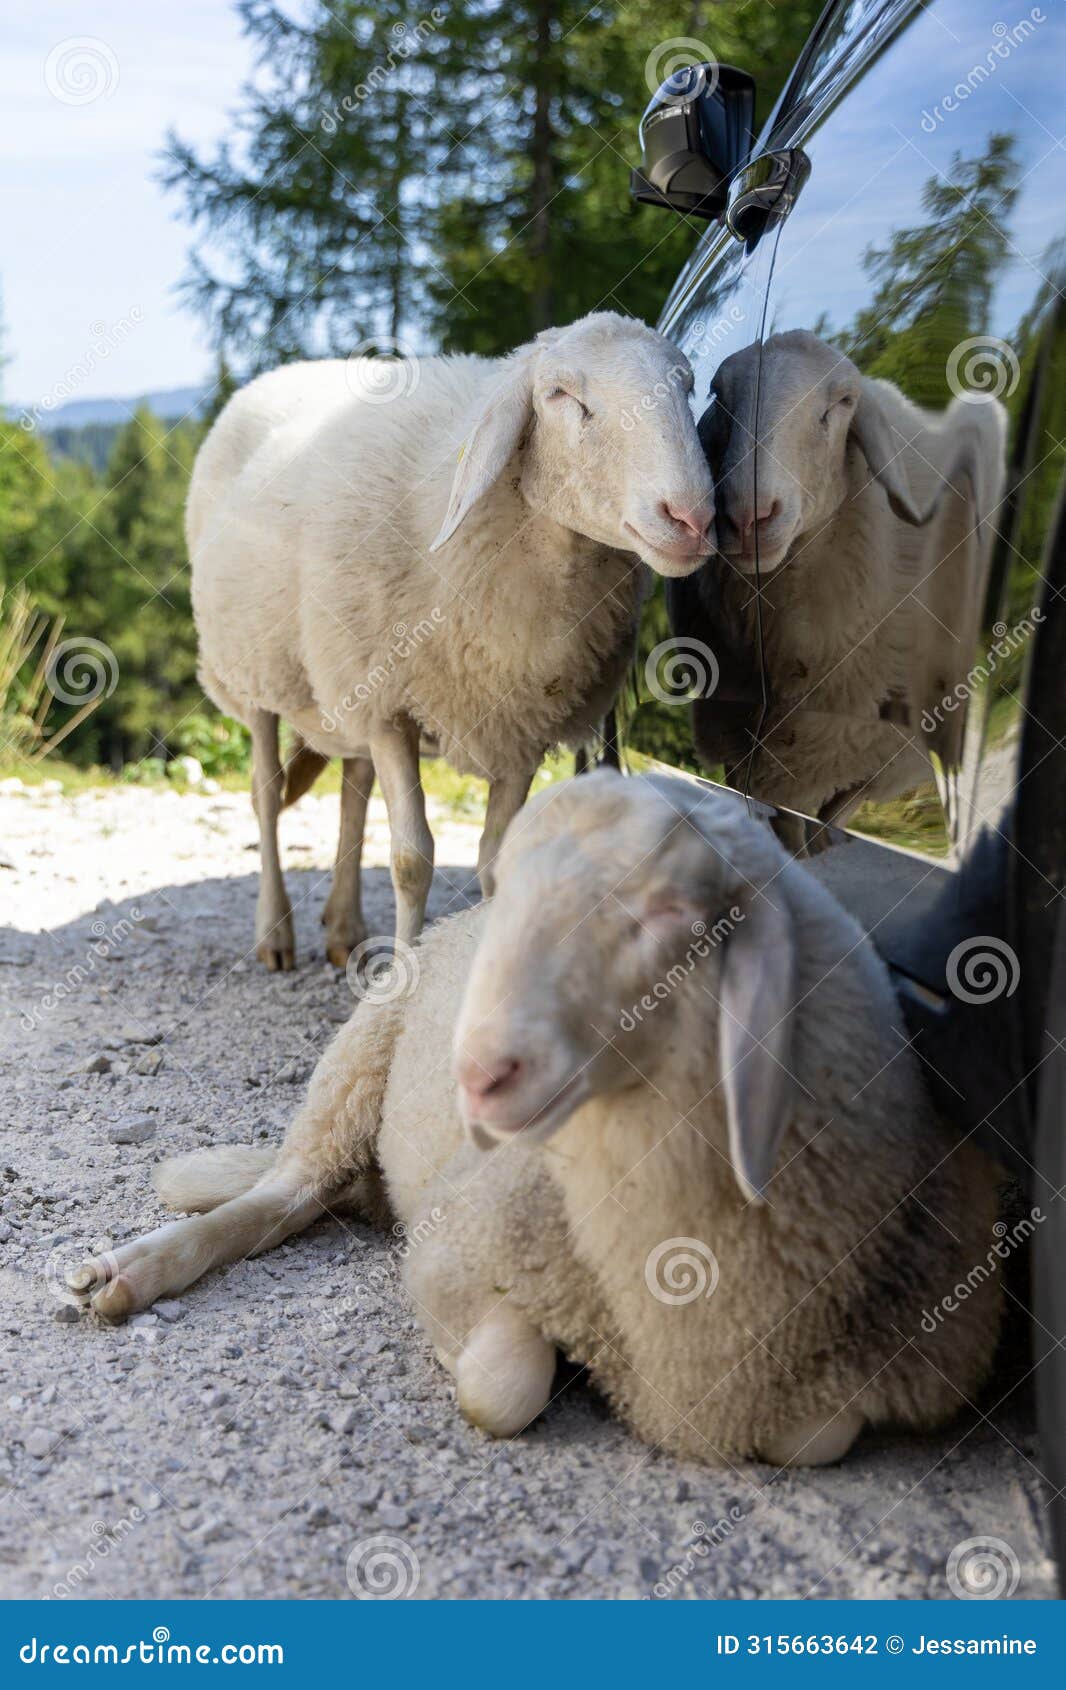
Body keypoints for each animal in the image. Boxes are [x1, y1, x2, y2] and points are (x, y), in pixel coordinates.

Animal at [66, 774, 1000, 1473]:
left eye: (671, 913)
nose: (476, 1074)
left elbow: (817, 1436)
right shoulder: (455, 1241)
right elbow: (503, 1389)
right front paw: (474, 1363)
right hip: (357, 1059)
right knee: (280, 1198)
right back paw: (130, 1270)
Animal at [190, 312, 716, 973]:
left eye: (689, 388)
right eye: (559, 394)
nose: (692, 518)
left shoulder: (522, 720)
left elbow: (493, 859)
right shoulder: (390, 706)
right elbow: (411, 860)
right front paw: (402, 977)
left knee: (352, 796)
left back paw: (345, 929)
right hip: (254, 674)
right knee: (265, 796)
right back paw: (275, 933)